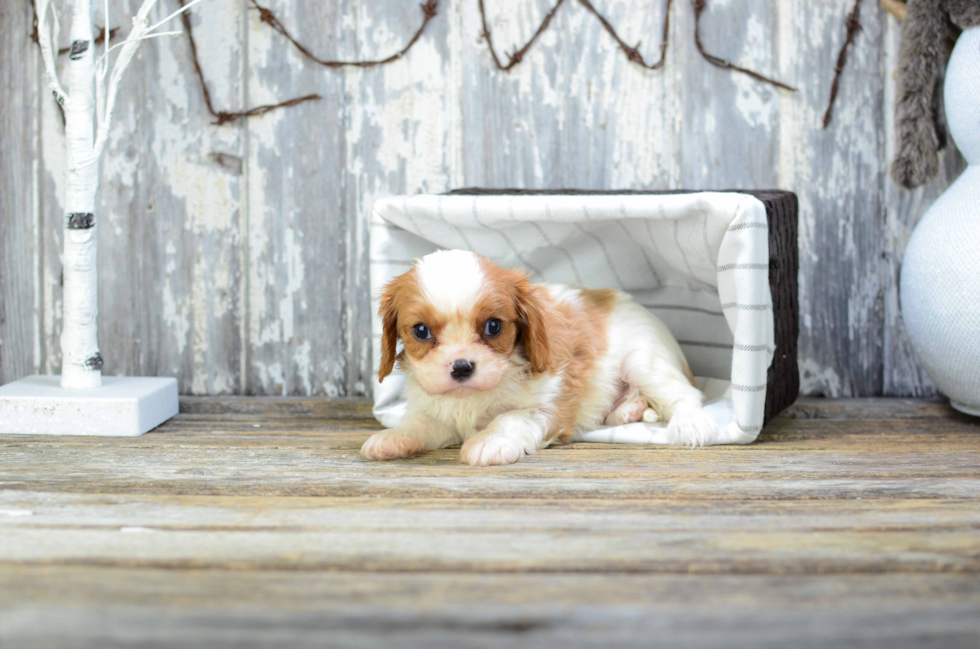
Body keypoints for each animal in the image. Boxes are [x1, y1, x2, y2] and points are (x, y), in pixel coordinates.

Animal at [364, 249, 716, 466]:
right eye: (421, 331)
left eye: (493, 326)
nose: (462, 367)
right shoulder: (436, 411)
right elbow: (418, 423)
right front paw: (392, 437)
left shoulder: (550, 407)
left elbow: (510, 418)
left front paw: (489, 441)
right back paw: (625, 411)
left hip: (642, 361)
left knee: (685, 395)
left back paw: (690, 424)